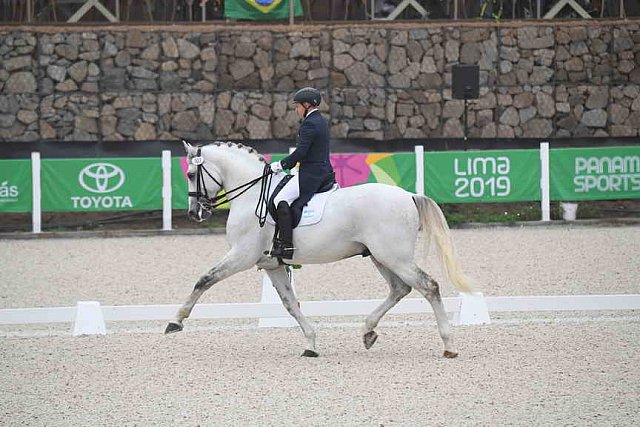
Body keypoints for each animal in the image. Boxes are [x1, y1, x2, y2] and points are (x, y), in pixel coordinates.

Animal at [168, 141, 472, 358]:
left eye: (191, 174)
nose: (195, 213)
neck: (253, 195)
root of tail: (409, 195)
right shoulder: (272, 265)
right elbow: (290, 304)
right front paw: (311, 344)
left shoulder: (242, 256)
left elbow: (205, 279)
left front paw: (176, 321)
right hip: (381, 257)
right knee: (400, 289)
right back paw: (368, 331)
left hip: (394, 257)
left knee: (428, 286)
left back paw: (448, 345)